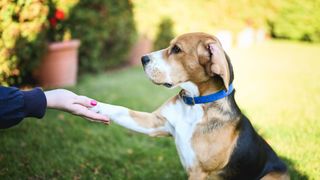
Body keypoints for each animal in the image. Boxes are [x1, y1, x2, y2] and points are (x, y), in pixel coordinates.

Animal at [91, 32, 288, 180]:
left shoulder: (198, 172)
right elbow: (119, 109)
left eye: (176, 49)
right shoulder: (155, 122)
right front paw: (91, 104)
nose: (143, 58)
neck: (194, 104)